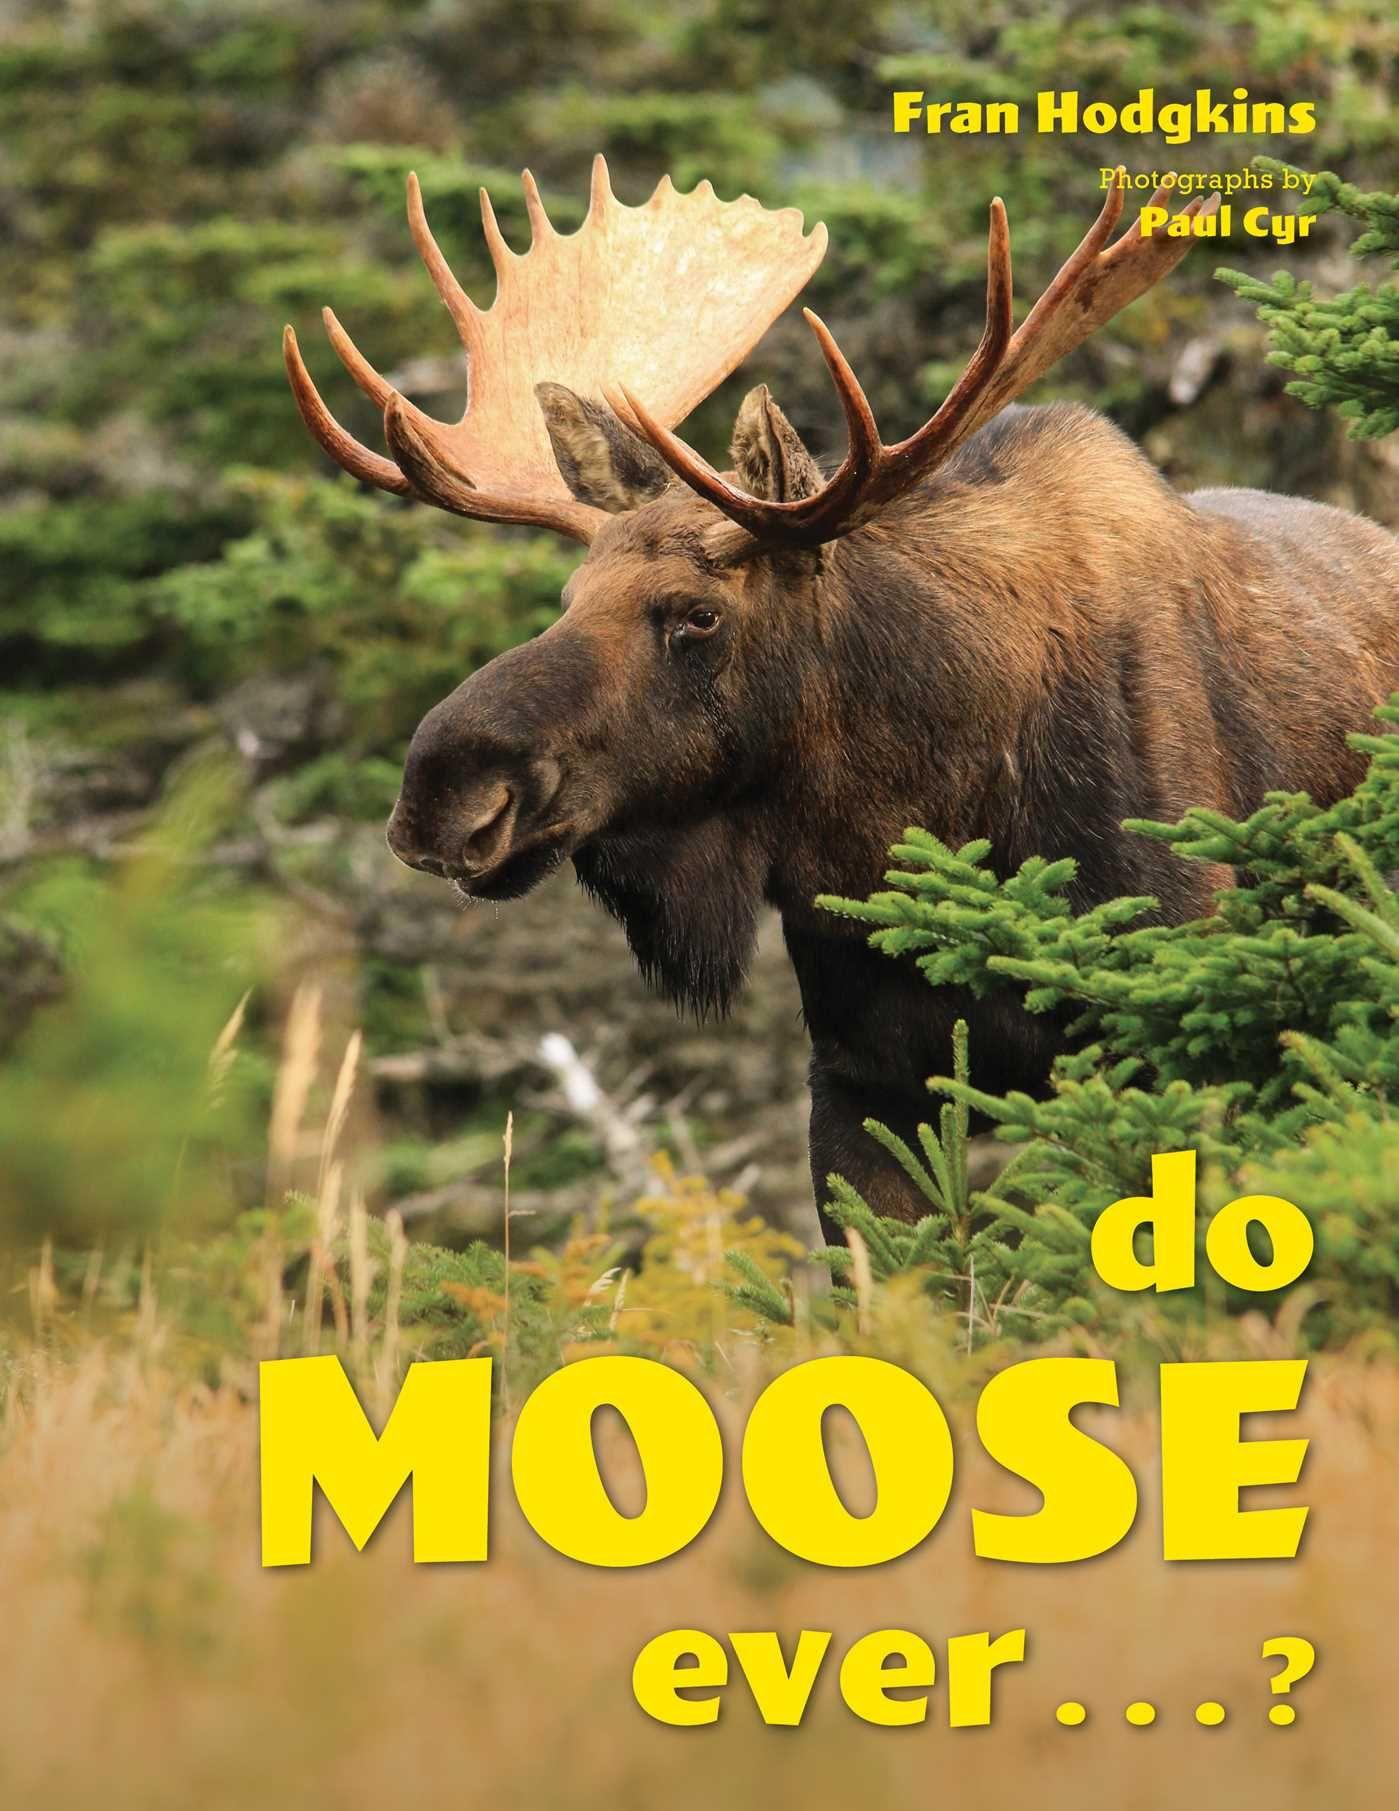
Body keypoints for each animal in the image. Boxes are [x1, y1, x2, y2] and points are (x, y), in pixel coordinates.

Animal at [284, 157, 1399, 1237]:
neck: (937, 813)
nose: (441, 792)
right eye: (567, 597)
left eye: (697, 614)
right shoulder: (860, 1076)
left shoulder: (1165, 1023)